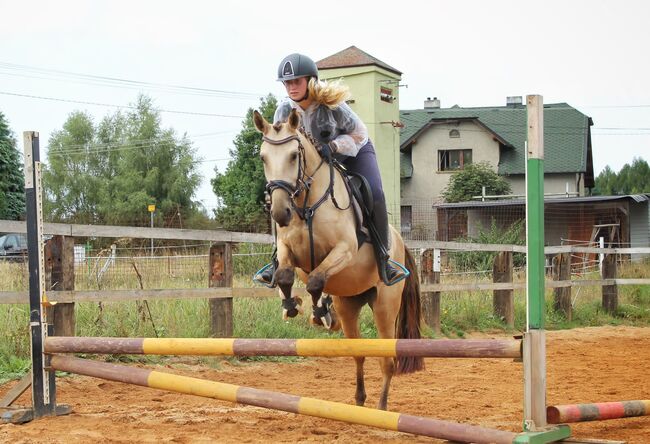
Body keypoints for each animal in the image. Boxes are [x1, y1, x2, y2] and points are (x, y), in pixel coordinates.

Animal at [251, 107, 422, 410]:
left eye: (293, 156)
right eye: (263, 157)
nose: (280, 212)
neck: (306, 205)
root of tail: (401, 242)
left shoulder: (345, 249)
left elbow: (316, 279)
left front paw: (317, 314)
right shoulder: (287, 249)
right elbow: (285, 275)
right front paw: (292, 306)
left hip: (385, 306)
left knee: (387, 361)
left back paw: (381, 409)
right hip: (349, 304)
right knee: (358, 353)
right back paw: (359, 400)